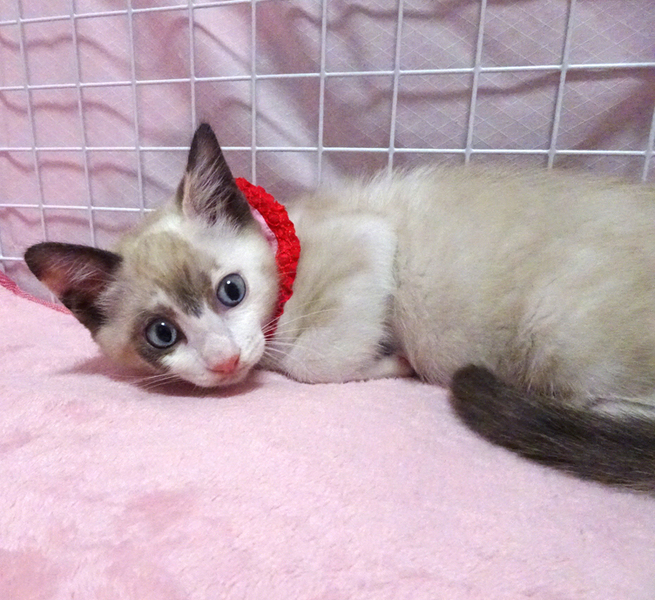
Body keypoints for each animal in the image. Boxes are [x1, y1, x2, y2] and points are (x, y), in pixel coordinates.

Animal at [25, 123, 655, 492]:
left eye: (232, 291)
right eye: (162, 334)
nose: (225, 361)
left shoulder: (372, 240)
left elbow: (312, 361)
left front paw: (390, 361)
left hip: (558, 328)